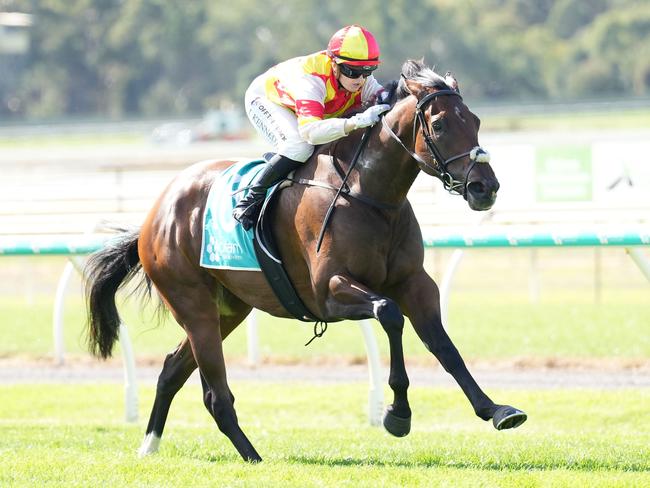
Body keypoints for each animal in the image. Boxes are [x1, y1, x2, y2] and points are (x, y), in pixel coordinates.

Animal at [83, 60, 524, 462]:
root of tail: (153, 216)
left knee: (172, 369)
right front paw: (398, 414)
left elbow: (443, 345)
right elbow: (389, 313)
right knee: (215, 395)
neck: (367, 194)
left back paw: (149, 445)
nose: (485, 188)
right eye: (440, 124)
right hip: (193, 306)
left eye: (476, 120)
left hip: (229, 309)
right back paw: (252, 456)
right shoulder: (329, 291)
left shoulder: (415, 282)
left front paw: (496, 409)